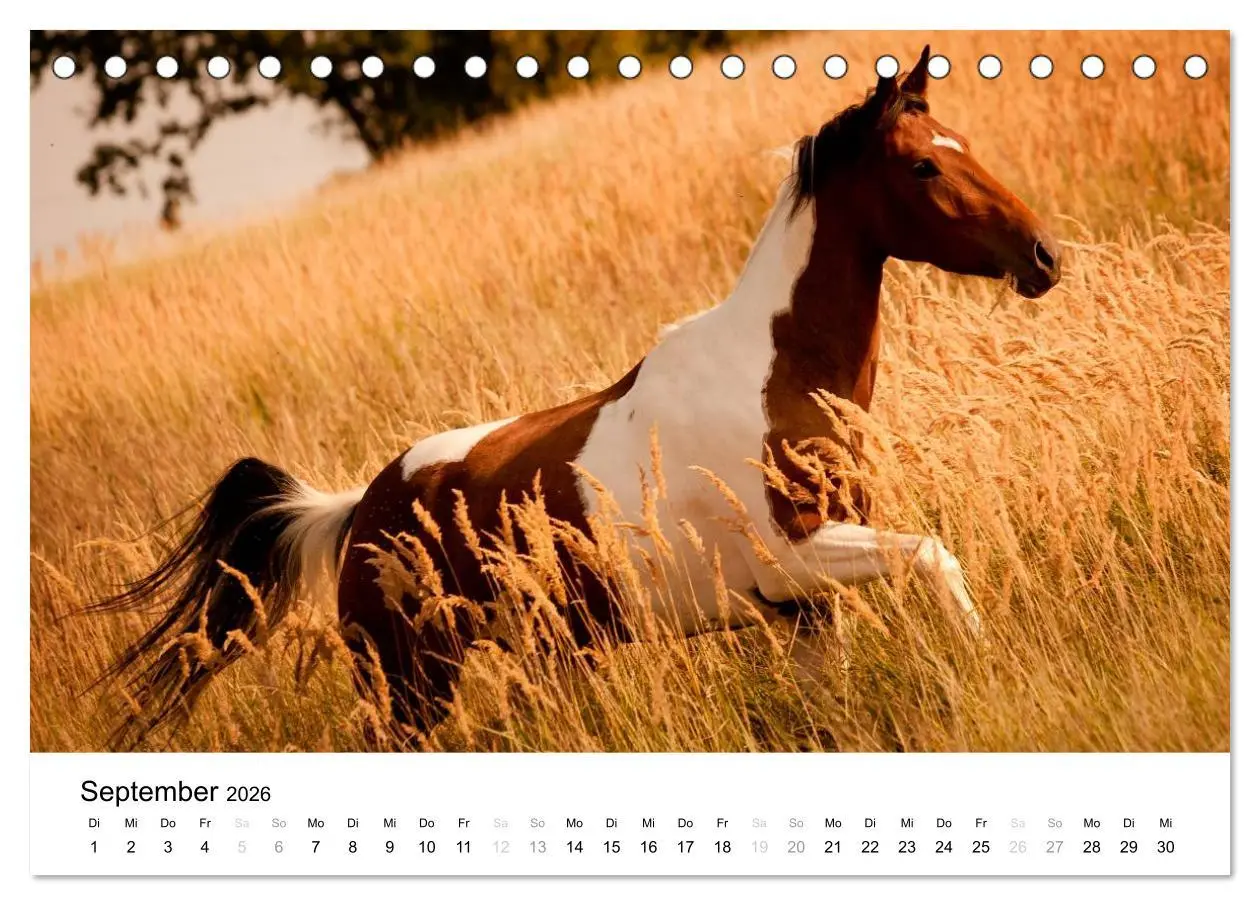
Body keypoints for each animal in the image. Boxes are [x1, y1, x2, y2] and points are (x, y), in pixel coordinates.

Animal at [94, 46, 1060, 748]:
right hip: (408, 685)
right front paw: (987, 655)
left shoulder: (804, 608)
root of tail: (354, 511)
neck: (776, 374)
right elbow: (934, 553)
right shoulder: (794, 563)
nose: (1044, 255)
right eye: (923, 167)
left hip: (538, 655)